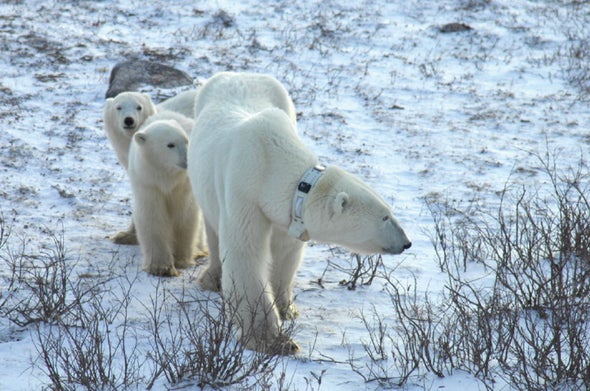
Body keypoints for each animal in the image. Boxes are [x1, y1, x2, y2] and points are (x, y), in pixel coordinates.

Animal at [188, 71, 412, 356]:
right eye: (384, 216)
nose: (406, 242)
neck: (270, 165)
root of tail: (237, 73)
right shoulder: (243, 192)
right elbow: (245, 255)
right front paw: (274, 340)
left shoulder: (287, 215)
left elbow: (285, 254)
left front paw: (287, 308)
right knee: (213, 227)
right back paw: (212, 278)